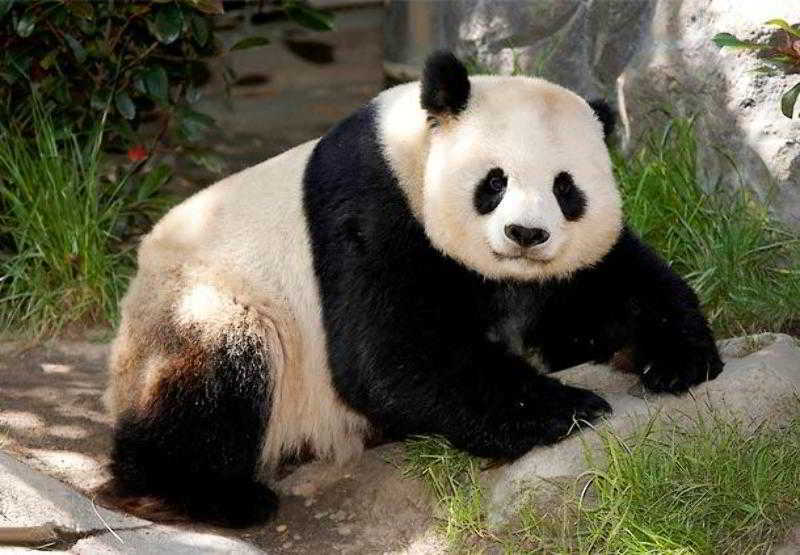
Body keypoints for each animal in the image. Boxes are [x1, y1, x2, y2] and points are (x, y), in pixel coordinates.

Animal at [101, 53, 724, 528]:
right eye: (494, 182)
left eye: (566, 189)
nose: (526, 234)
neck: (413, 144)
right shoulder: (371, 208)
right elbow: (393, 353)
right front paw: (570, 407)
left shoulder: (565, 265)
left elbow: (616, 280)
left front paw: (677, 359)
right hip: (202, 299)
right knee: (214, 371)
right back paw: (211, 493)